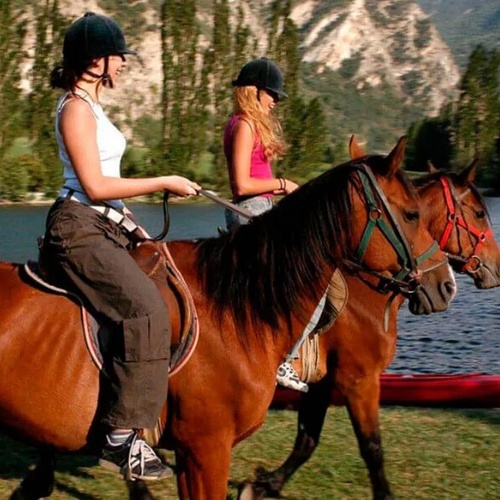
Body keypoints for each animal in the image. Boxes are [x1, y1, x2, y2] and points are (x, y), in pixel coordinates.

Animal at [0, 138, 456, 500]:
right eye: (411, 214)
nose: (445, 284)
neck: (236, 308)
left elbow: (314, 437)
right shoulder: (207, 449)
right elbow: (363, 445)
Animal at [239, 140, 500, 500]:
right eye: (478, 213)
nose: (445, 288)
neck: (366, 291)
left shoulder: (322, 382)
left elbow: (307, 439)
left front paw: (266, 483)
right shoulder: (358, 379)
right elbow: (372, 448)